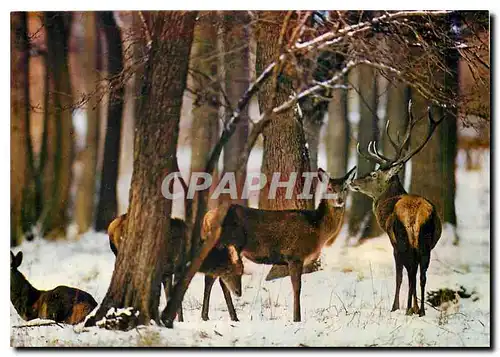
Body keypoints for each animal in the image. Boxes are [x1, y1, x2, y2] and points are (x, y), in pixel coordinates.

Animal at [108, 213, 244, 322]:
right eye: (237, 272)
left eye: (242, 272)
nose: (239, 292)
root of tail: (111, 227)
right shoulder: (178, 268)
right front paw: (179, 319)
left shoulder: (168, 271)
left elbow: (170, 294)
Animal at [214, 166, 356, 320]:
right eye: (330, 188)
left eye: (345, 188)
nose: (339, 200)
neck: (317, 228)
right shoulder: (295, 255)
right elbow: (297, 288)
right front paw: (297, 318)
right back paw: (232, 316)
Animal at [350, 101, 444, 316]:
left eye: (374, 174)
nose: (353, 181)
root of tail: (416, 215)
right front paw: (413, 307)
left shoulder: (392, 242)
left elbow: (399, 275)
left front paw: (395, 307)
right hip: (425, 241)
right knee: (421, 273)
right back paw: (420, 310)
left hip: (402, 238)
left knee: (410, 270)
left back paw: (409, 308)